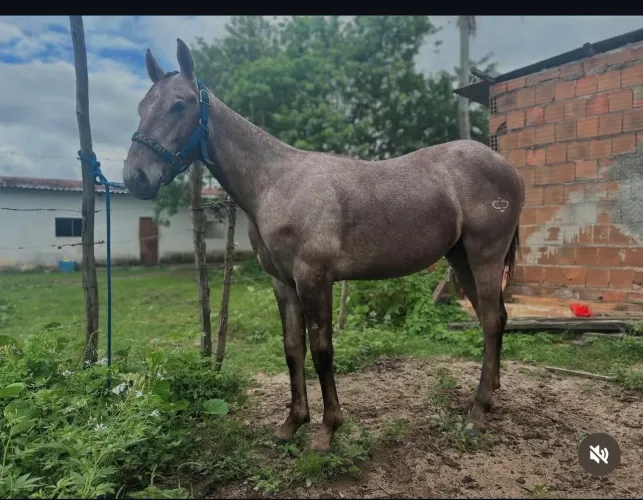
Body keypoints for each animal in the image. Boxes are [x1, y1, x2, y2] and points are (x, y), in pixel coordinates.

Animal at [123, 39, 525, 453]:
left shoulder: (314, 278)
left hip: (485, 256)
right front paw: (292, 423)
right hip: (460, 259)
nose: (136, 177)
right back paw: (492, 391)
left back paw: (477, 414)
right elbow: (292, 349)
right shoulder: (283, 283)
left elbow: (322, 350)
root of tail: (505, 166)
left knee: (492, 321)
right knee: (494, 318)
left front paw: (328, 429)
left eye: (179, 104)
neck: (275, 183)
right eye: (141, 107)